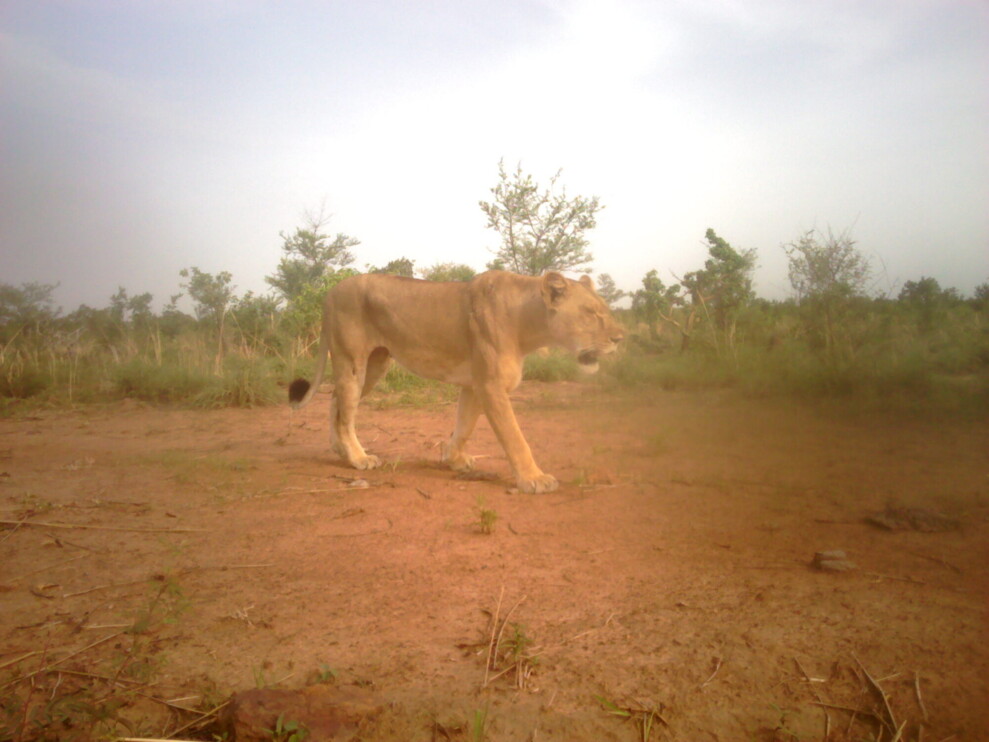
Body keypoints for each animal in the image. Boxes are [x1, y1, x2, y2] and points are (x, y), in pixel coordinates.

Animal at [289, 270, 624, 493]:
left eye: (606, 311)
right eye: (592, 314)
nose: (621, 338)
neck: (527, 322)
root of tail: (331, 292)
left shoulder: (475, 384)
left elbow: (464, 426)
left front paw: (454, 460)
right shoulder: (491, 385)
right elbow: (515, 437)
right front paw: (534, 479)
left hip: (376, 364)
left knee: (337, 402)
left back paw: (340, 450)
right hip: (352, 360)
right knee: (345, 409)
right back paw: (358, 458)